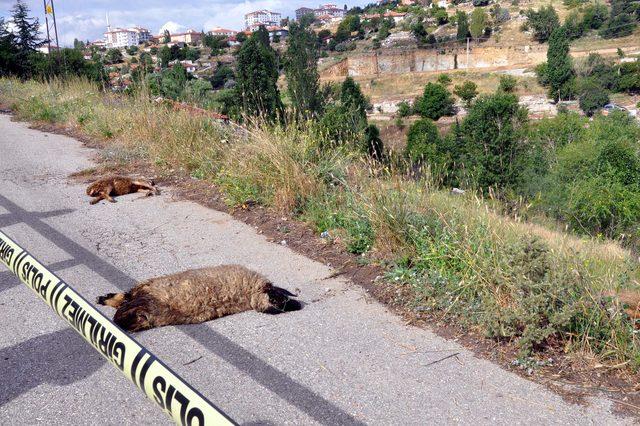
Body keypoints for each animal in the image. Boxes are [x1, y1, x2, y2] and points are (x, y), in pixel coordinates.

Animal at [97, 264, 302, 332]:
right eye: (278, 300)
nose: (297, 305)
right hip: (147, 296)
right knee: (125, 305)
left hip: (147, 302)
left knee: (126, 302)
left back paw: (107, 300)